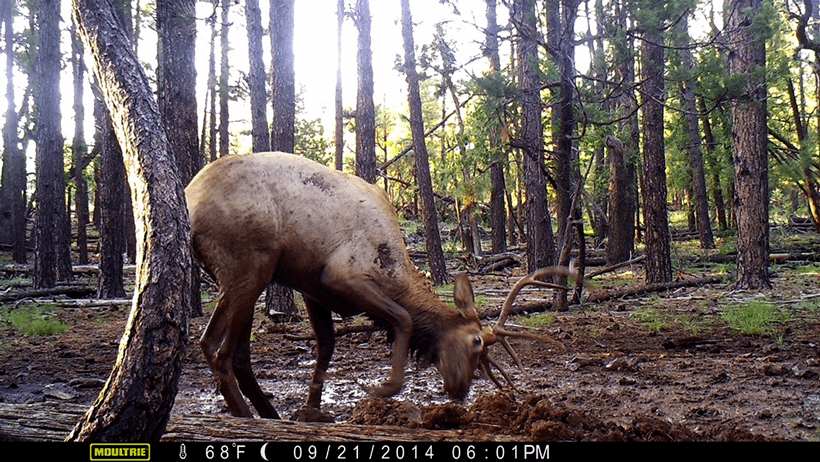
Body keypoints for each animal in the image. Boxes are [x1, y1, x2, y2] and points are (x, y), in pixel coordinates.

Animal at [185, 152, 574, 421]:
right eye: (475, 342)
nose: (460, 390)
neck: (396, 273)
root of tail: (189, 199)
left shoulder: (312, 288)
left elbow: (326, 346)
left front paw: (312, 410)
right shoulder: (342, 274)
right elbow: (402, 318)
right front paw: (383, 387)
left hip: (256, 274)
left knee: (238, 355)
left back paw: (270, 414)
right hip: (248, 266)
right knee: (214, 347)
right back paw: (245, 416)